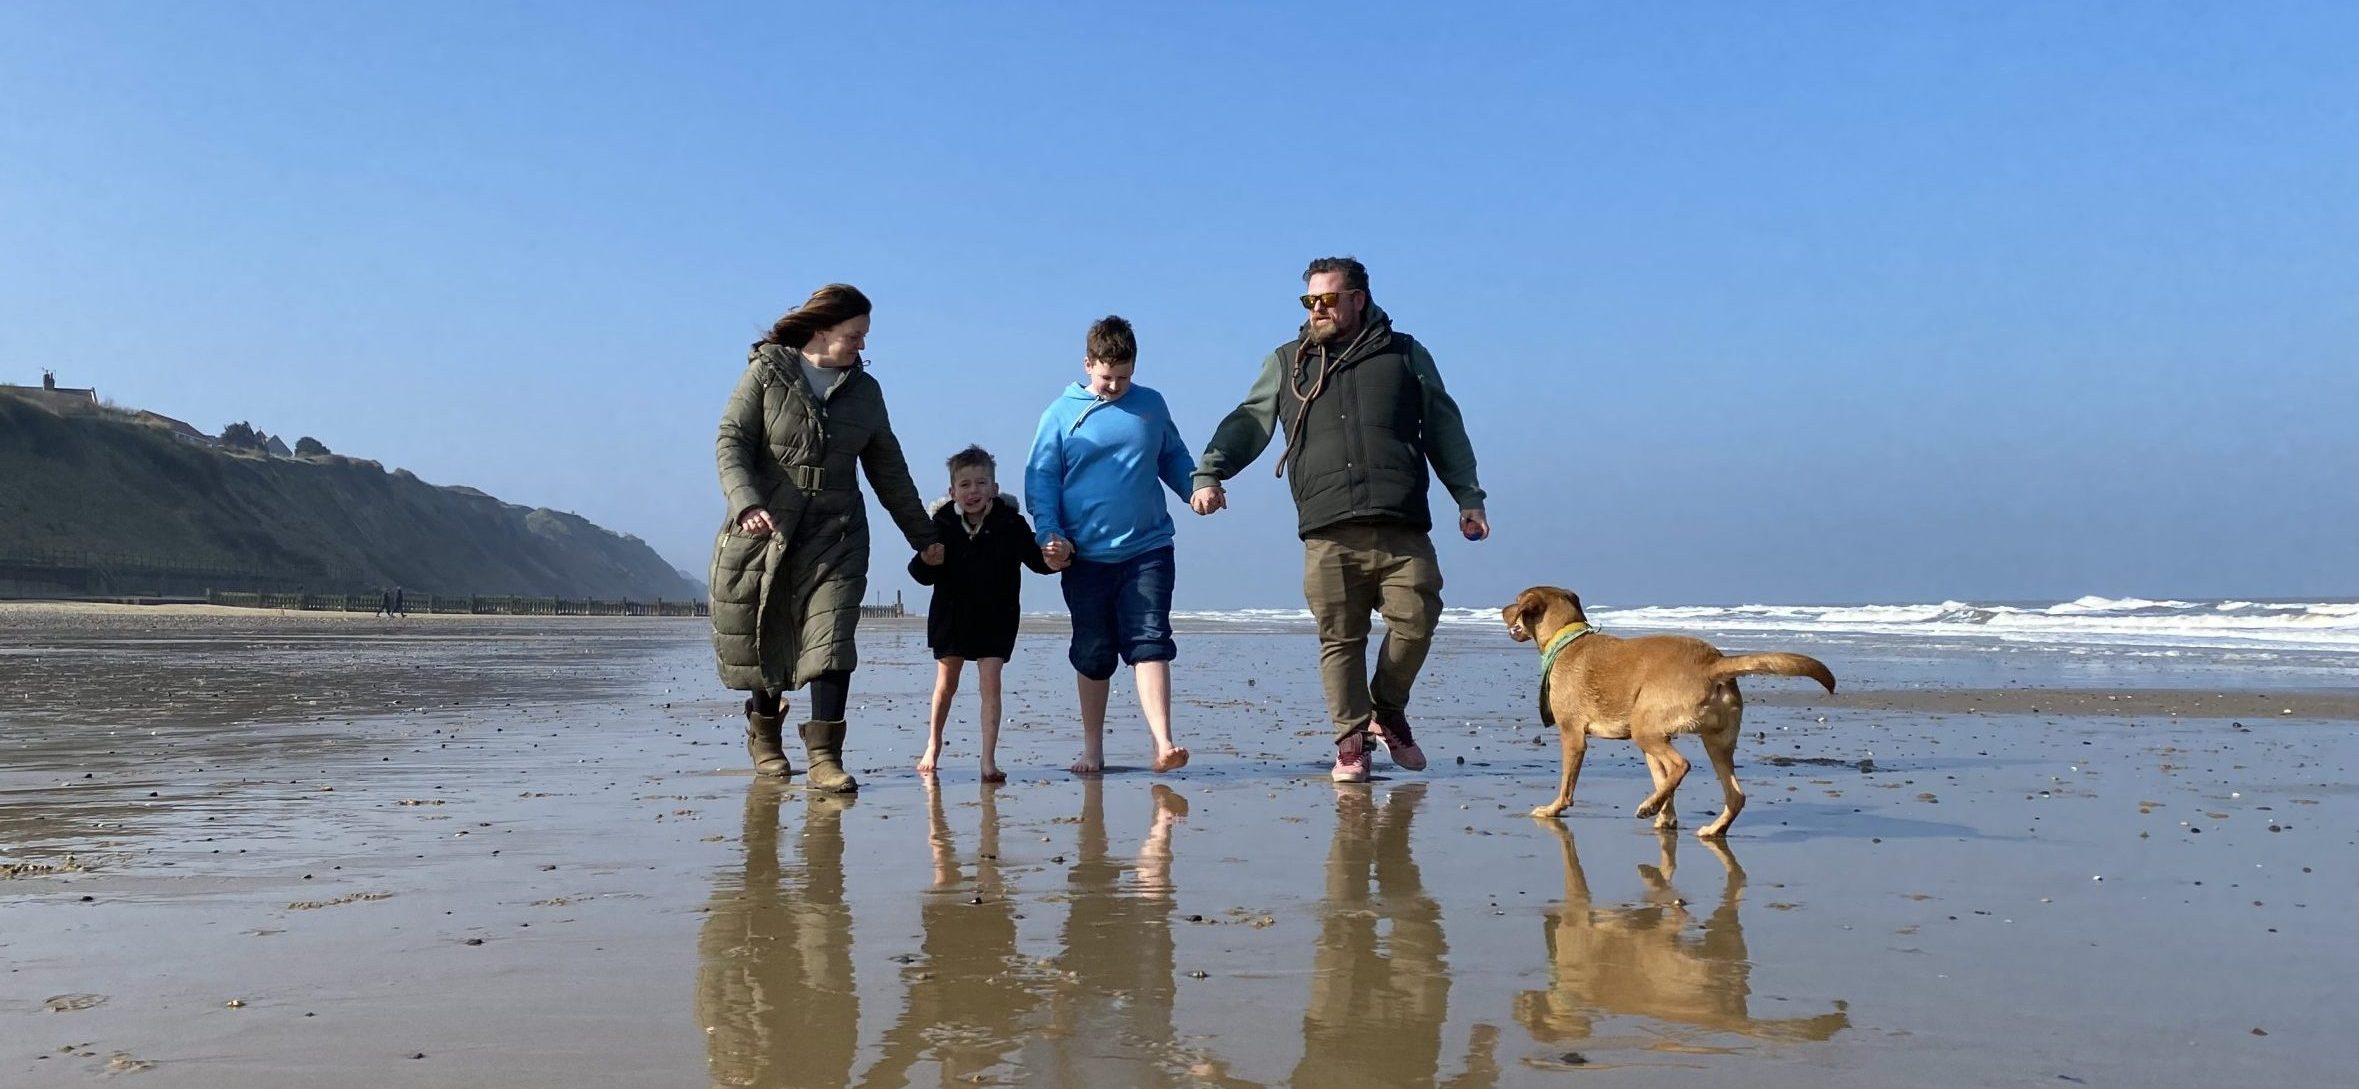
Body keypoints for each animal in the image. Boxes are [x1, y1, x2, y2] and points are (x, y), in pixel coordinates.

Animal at [1500, 591, 1830, 839]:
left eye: (1517, 601)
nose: (1502, 609)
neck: (1566, 637)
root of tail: (1712, 664)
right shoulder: (1658, 741)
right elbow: (1662, 779)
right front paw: (1666, 817)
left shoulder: (1573, 735)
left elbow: (1567, 785)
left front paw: (1552, 809)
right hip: (1710, 742)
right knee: (1733, 795)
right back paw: (1709, 827)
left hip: (1645, 729)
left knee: (1682, 765)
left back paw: (1649, 806)